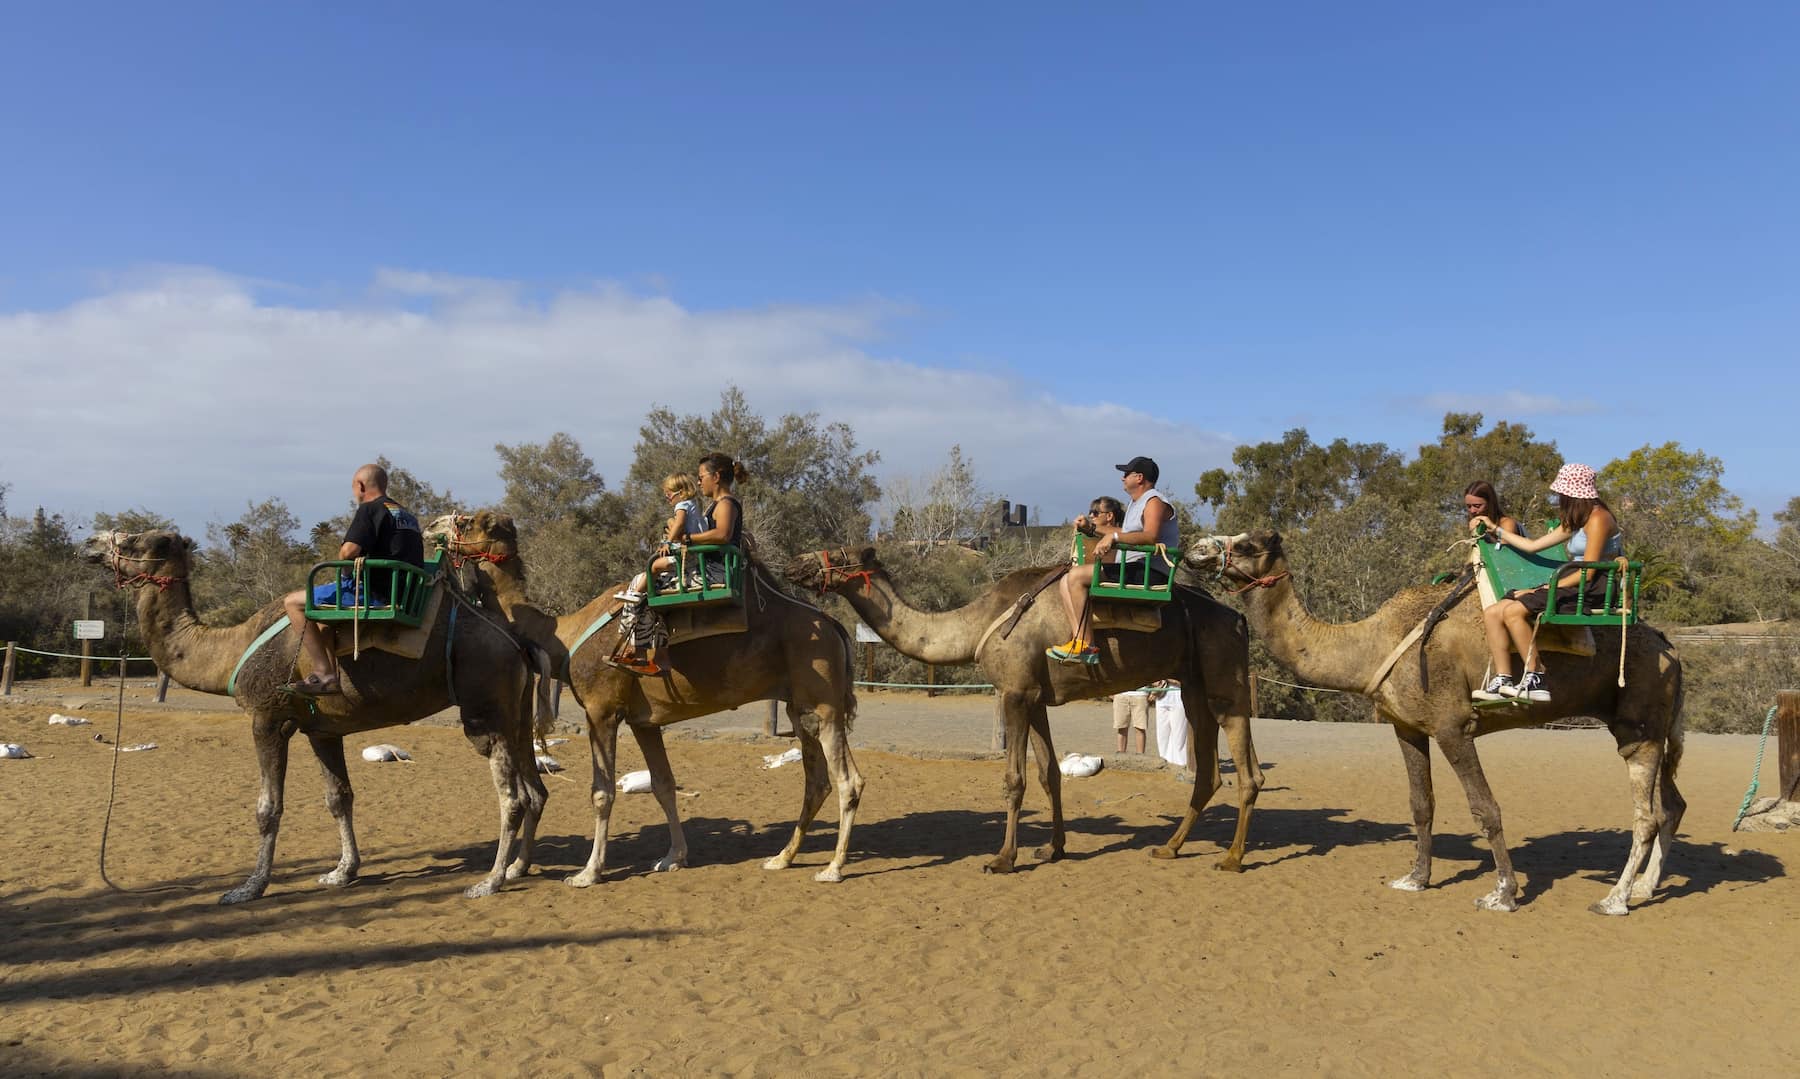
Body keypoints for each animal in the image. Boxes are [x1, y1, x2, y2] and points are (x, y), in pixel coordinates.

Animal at [84, 533, 543, 904]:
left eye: (136, 541)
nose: (89, 544)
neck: (232, 649)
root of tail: (514, 642)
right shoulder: (322, 728)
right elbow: (338, 797)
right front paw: (342, 872)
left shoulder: (268, 717)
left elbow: (268, 808)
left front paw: (248, 887)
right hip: (516, 709)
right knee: (535, 789)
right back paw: (518, 868)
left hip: (484, 705)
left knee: (512, 795)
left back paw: (489, 882)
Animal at [428, 515, 864, 886]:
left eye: (468, 522)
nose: (432, 527)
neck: (565, 635)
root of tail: (834, 627)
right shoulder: (644, 721)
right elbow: (663, 785)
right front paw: (674, 858)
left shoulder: (602, 711)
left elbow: (602, 792)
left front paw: (588, 873)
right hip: (802, 706)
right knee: (817, 781)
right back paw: (782, 858)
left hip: (823, 703)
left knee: (848, 780)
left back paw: (833, 868)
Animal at [788, 547, 1267, 879]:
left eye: (841, 553)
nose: (796, 564)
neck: (978, 625)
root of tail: (1239, 620)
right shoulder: (1036, 697)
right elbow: (1048, 773)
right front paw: (1052, 849)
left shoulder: (1014, 693)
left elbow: (1014, 779)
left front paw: (1002, 858)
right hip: (1194, 685)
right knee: (1210, 770)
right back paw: (1170, 846)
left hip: (1222, 679)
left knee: (1248, 769)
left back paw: (1232, 857)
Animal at [1180, 536, 1684, 915]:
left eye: (1248, 543)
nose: (1195, 549)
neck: (1369, 646)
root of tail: (1670, 648)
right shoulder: (1407, 727)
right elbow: (1421, 804)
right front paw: (1416, 878)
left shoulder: (1451, 725)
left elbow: (1485, 808)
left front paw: (1503, 894)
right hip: (1651, 727)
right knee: (1671, 805)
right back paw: (1644, 888)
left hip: (1638, 725)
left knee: (1646, 814)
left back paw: (1614, 899)